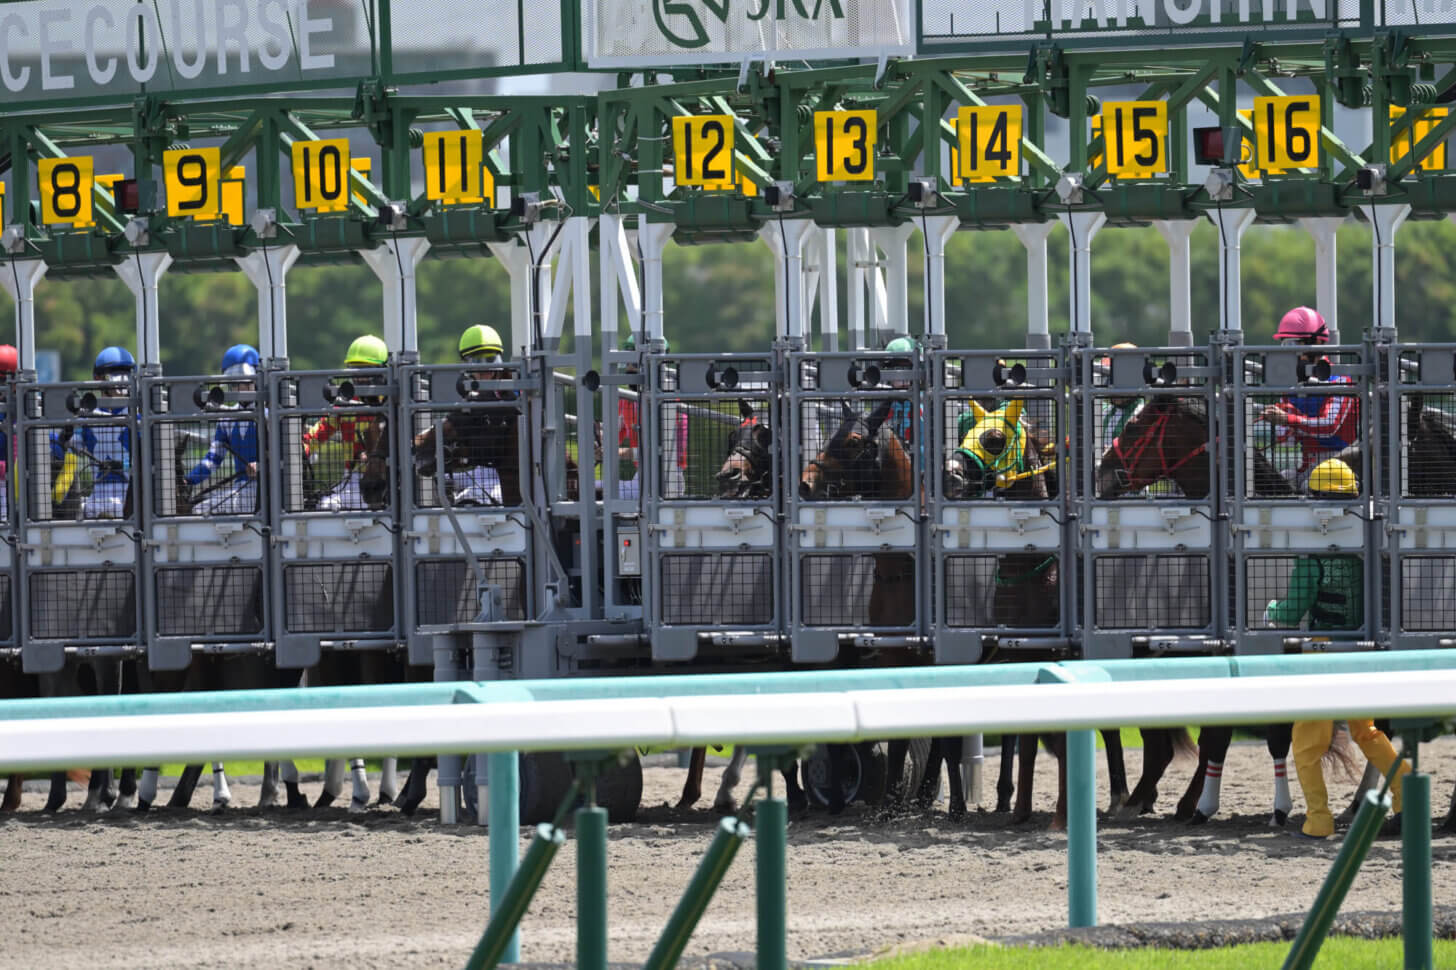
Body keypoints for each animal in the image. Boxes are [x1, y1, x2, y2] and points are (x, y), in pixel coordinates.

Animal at [937, 396, 1129, 821]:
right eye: (964, 431)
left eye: (994, 438)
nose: (949, 476)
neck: (1031, 567)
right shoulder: (1015, 651)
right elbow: (1022, 734)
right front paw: (1019, 805)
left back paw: (1123, 797)